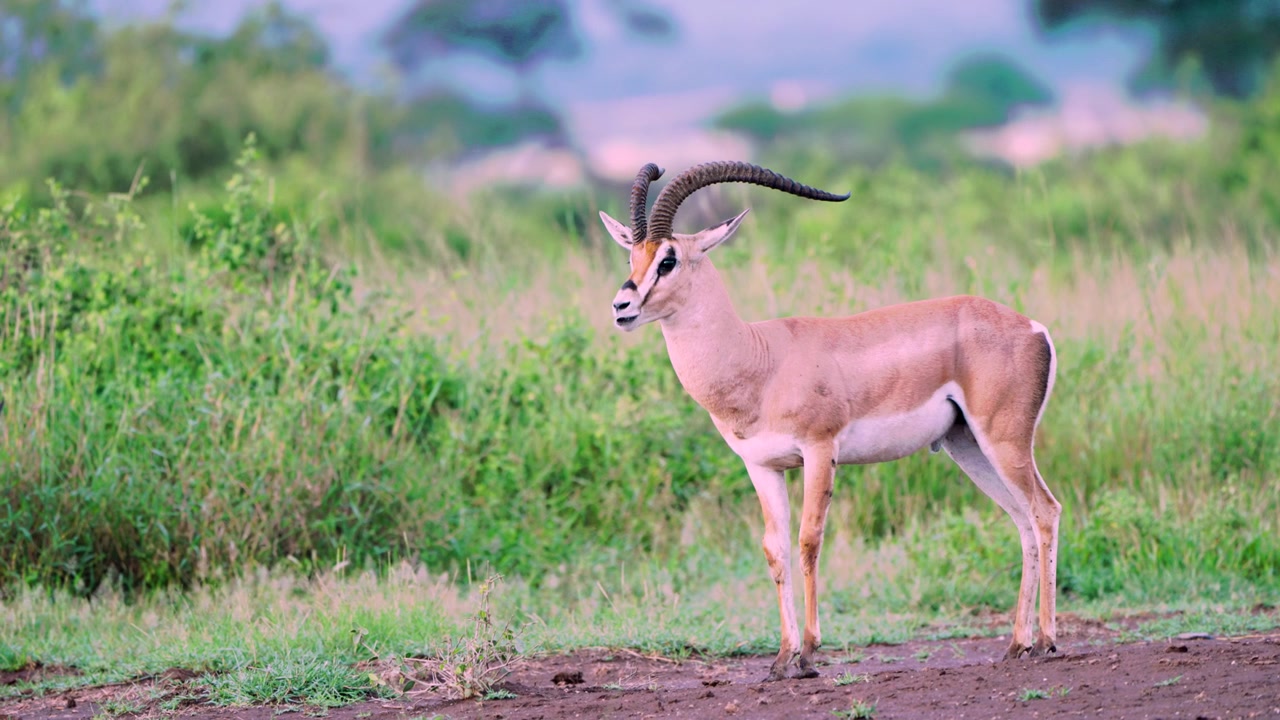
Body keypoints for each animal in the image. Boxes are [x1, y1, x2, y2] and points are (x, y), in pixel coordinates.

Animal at [599, 161, 1061, 681]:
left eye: (669, 260)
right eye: (633, 255)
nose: (621, 307)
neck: (759, 359)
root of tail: (1033, 328)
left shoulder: (820, 450)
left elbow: (808, 541)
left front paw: (808, 653)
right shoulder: (763, 467)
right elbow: (775, 549)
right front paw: (782, 658)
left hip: (1005, 441)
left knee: (1045, 511)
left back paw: (1046, 641)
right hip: (968, 447)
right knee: (1021, 520)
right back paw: (1017, 644)